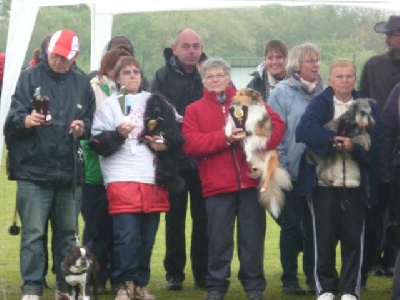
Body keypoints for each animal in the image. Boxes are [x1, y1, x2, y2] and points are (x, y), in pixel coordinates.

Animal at [225, 88, 290, 217]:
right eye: (236, 93)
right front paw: (228, 133)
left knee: (267, 177)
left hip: (270, 160)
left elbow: (250, 142)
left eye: (241, 94)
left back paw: (264, 187)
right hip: (251, 164)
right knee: (260, 172)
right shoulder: (237, 124)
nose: (230, 99)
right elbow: (230, 124)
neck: (248, 108)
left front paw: (248, 149)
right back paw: (255, 167)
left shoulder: (260, 136)